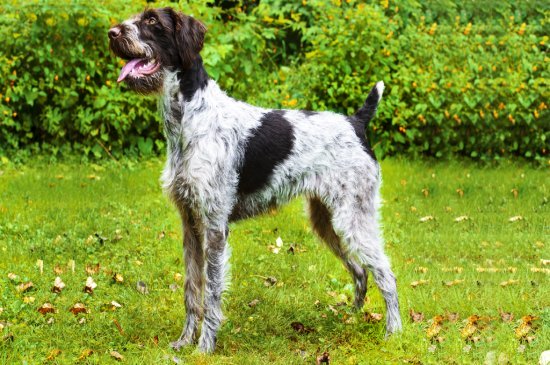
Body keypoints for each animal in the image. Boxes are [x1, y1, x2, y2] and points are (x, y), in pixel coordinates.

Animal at [108, 6, 404, 352]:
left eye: (152, 20)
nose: (112, 33)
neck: (190, 118)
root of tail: (356, 121)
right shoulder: (190, 224)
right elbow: (191, 291)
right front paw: (183, 342)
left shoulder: (214, 227)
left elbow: (211, 294)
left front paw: (204, 348)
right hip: (326, 221)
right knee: (360, 272)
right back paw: (349, 318)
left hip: (353, 218)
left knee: (385, 273)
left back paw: (393, 333)